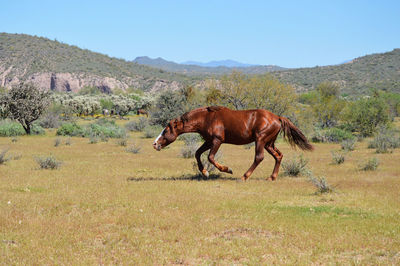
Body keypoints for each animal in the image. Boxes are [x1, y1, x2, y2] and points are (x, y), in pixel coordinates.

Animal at [152, 106, 312, 181]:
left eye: (166, 130)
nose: (155, 144)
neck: (207, 118)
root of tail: (277, 118)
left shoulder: (217, 141)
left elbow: (210, 157)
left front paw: (227, 169)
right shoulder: (209, 141)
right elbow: (197, 153)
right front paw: (205, 172)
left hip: (260, 140)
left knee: (259, 158)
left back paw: (244, 177)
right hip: (269, 143)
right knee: (278, 156)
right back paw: (271, 177)